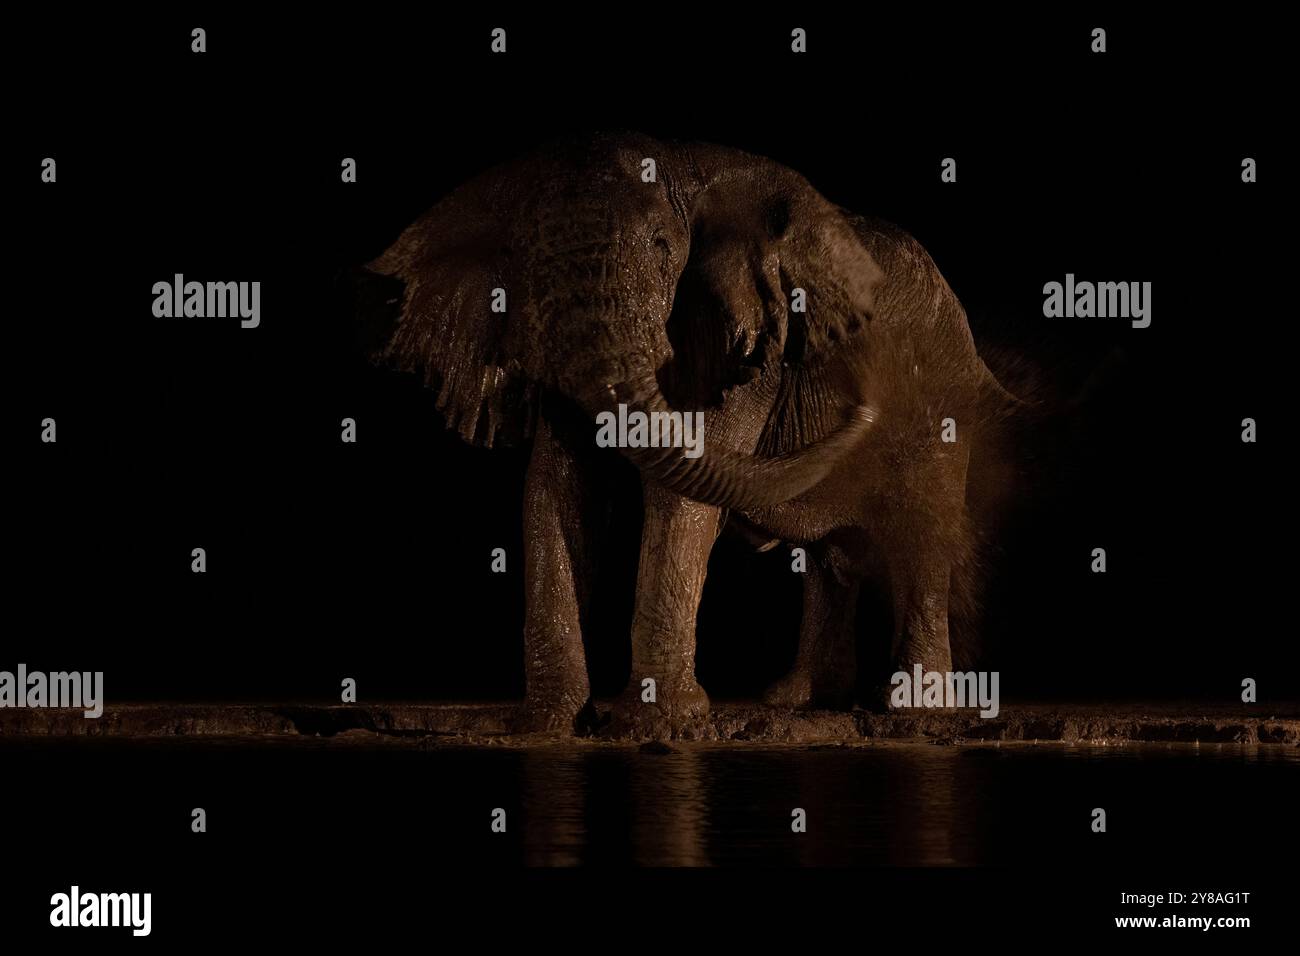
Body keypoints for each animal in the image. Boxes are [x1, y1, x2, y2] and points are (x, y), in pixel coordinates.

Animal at [357, 132, 1018, 734]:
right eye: (530, 269)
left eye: (659, 249)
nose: (863, 401)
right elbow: (557, 488)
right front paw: (547, 725)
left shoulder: (749, 348)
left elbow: (679, 495)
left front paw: (657, 726)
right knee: (831, 560)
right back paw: (796, 702)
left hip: (942, 403)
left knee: (921, 540)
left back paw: (912, 711)